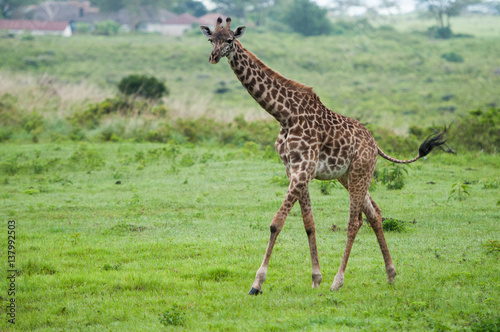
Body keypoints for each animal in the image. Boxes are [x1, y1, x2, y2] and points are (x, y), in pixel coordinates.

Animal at [199, 16, 446, 294]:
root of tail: (375, 143)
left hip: (361, 171)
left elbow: (276, 222)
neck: (285, 115)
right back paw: (391, 274)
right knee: (375, 213)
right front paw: (316, 278)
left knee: (355, 222)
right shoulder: (294, 170)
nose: (213, 57)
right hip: (347, 176)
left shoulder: (304, 168)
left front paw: (257, 283)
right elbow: (309, 223)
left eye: (230, 40)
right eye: (211, 39)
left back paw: (338, 281)